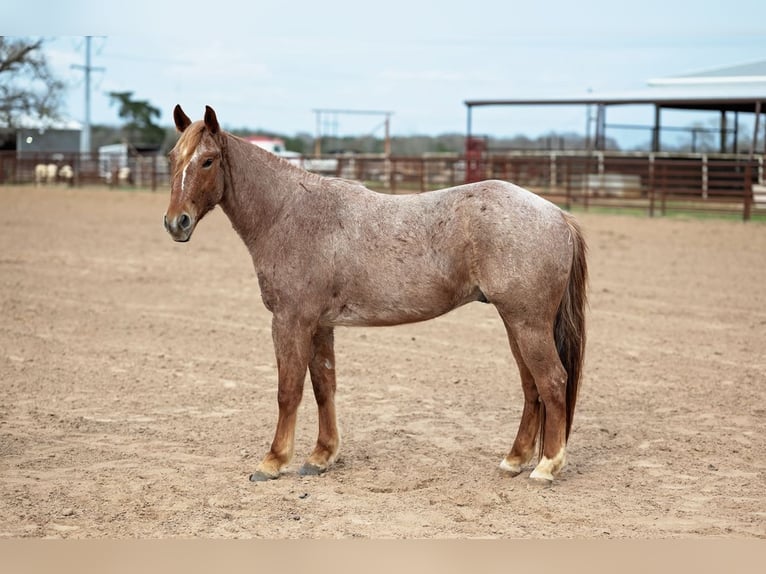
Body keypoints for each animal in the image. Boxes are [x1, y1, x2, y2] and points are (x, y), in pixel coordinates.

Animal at [163, 105, 588, 484]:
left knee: (552, 382)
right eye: (173, 158)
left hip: (528, 323)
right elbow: (323, 386)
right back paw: (514, 460)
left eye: (208, 161)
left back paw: (546, 467)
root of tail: (556, 214)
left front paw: (272, 462)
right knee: (532, 387)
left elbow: (289, 390)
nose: (175, 223)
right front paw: (321, 456)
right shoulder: (320, 325)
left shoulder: (290, 321)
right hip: (516, 323)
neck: (290, 213)